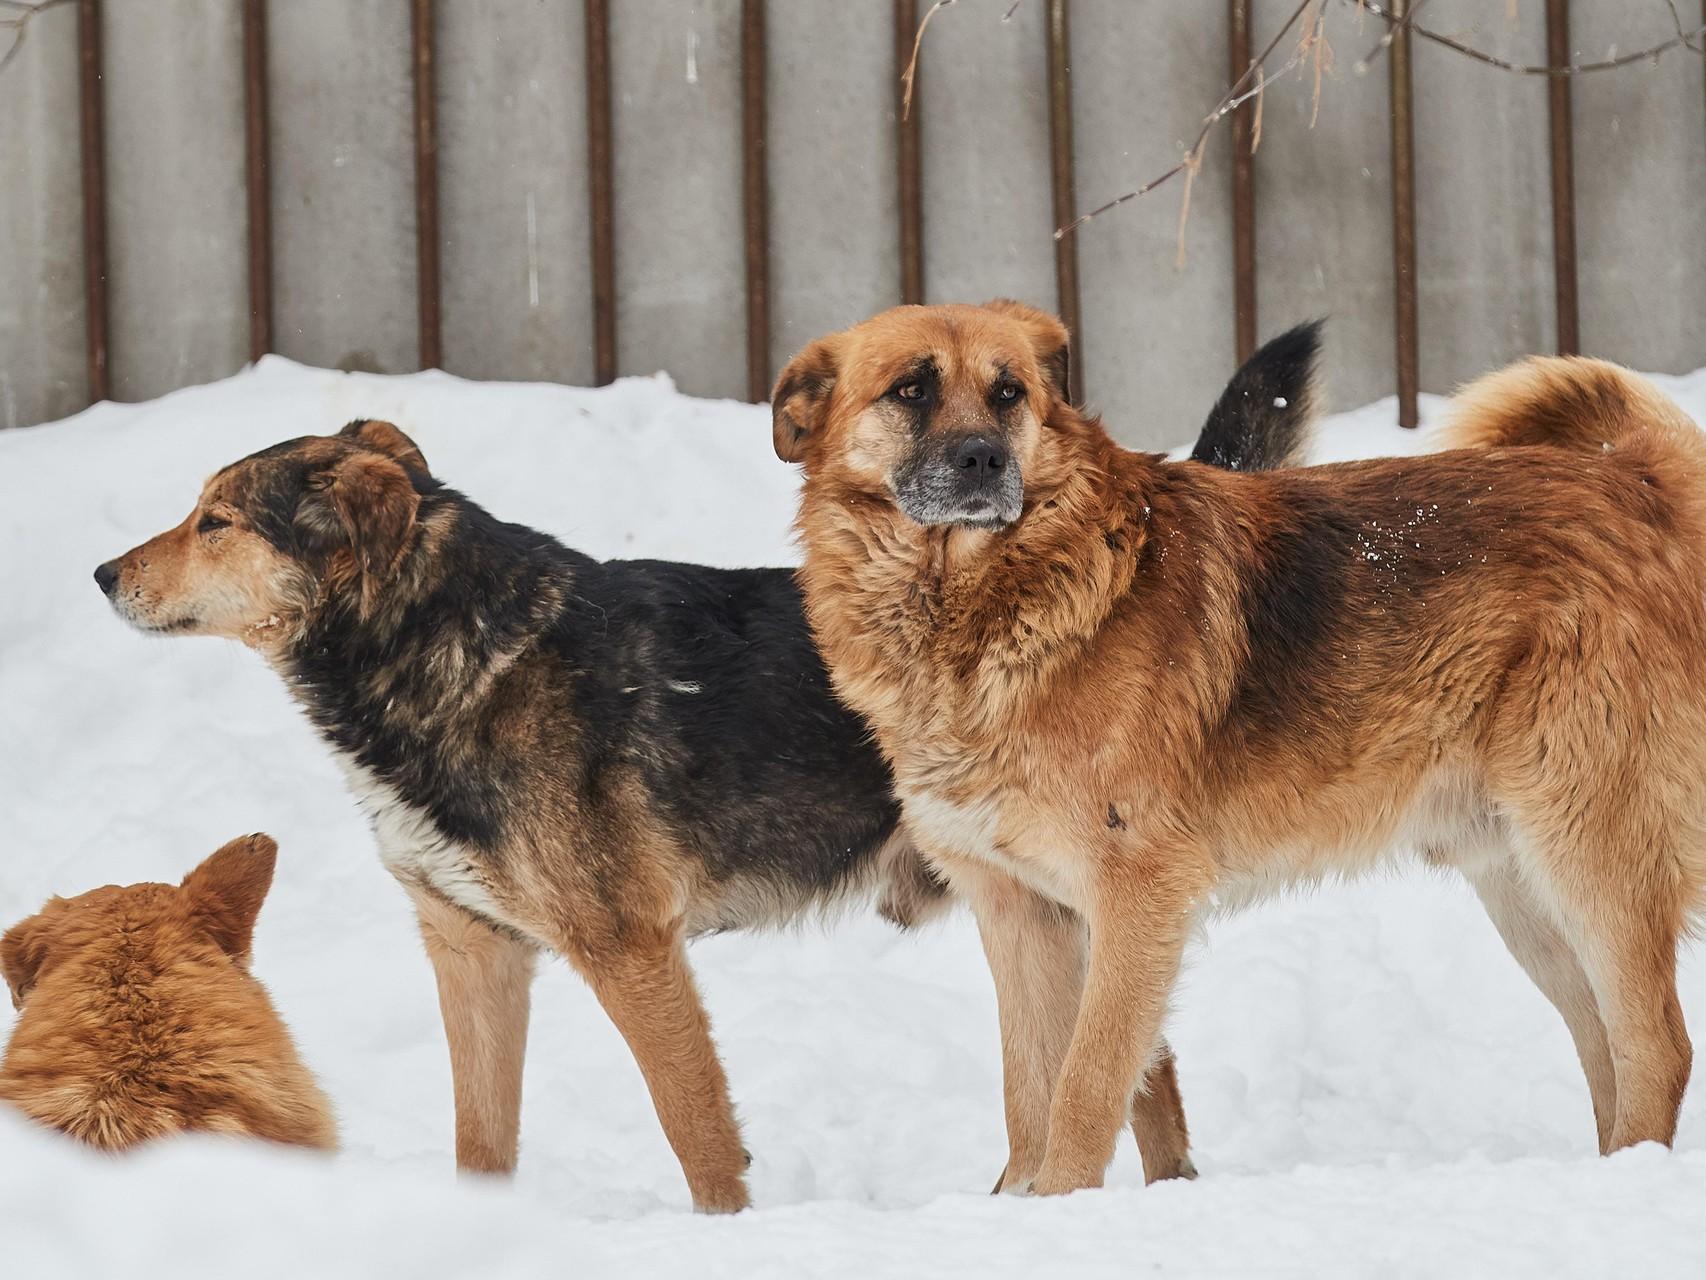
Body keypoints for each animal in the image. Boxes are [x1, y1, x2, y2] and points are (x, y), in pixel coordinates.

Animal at [89, 331, 1317, 1215]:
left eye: (215, 520)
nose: (100, 573)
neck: (451, 647)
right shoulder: (472, 951)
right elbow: (480, 1141)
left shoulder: (629, 948)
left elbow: (699, 1139)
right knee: (1143, 1066)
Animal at [781, 303, 1706, 1201]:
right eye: (911, 389)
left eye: (1009, 394)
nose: (983, 459)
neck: (983, 610)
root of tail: (1643, 483)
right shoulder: (1022, 914)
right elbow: (1029, 1099)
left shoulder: (1137, 896)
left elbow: (1086, 1087)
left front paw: (1063, 1210)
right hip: (1525, 888)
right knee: (1605, 1047)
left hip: (1589, 851)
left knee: (1658, 1044)